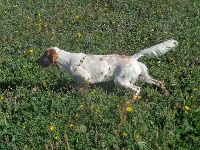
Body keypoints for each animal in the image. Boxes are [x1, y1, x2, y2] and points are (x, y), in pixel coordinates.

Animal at [37, 39, 178, 98]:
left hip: (121, 80)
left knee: (137, 89)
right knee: (159, 82)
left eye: (44, 55)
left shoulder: (84, 77)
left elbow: (77, 87)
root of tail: (133, 58)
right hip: (143, 77)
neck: (67, 60)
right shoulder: (82, 80)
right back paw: (167, 94)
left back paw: (129, 102)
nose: (36, 60)